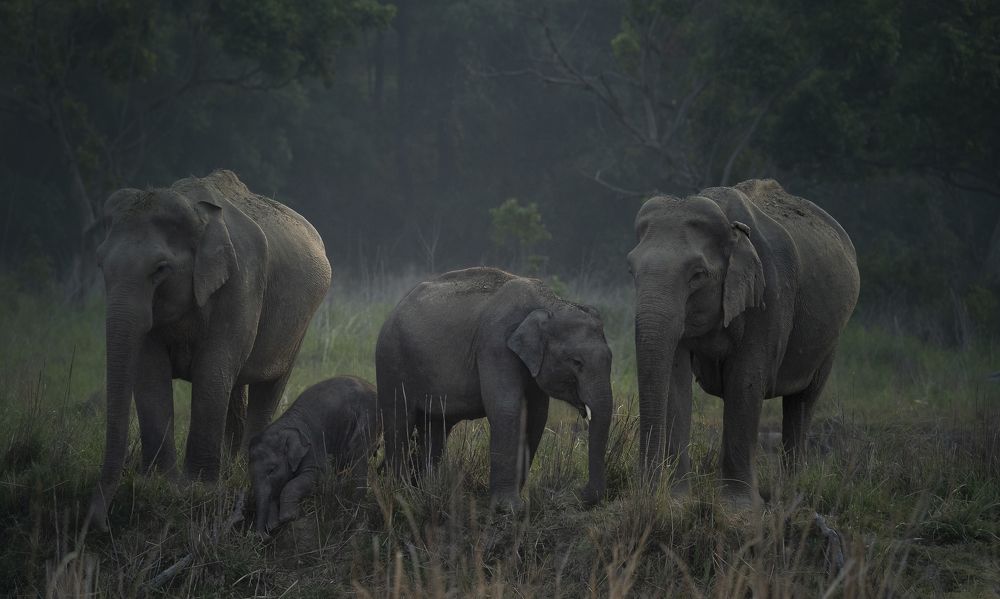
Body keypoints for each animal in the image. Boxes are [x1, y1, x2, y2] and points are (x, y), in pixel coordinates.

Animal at [88, 170, 332, 530]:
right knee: (237, 384)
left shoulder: (240, 283)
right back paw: (231, 468)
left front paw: (197, 488)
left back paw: (245, 469)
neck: (195, 213)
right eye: (100, 264)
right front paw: (159, 483)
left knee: (268, 386)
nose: (100, 522)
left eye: (160, 269)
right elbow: (150, 372)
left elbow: (211, 370)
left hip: (300, 321)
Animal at [249, 375, 378, 535]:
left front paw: (289, 517)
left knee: (356, 454)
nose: (264, 535)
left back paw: (354, 509)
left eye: (271, 470)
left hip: (368, 418)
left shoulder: (312, 446)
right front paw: (275, 524)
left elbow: (319, 476)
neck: (284, 425)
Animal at [375, 267, 614, 510]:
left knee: (435, 428)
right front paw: (510, 508)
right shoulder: (495, 343)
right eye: (576, 362)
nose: (577, 494)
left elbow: (537, 415)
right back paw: (403, 492)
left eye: (610, 359)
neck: (549, 303)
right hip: (391, 360)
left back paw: (427, 491)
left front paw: (518, 502)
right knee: (399, 420)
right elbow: (506, 408)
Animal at [628, 179, 859, 503]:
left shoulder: (770, 296)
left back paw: (792, 493)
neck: (729, 226)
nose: (645, 493)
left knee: (803, 401)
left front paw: (738, 507)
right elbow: (675, 379)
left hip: (832, 338)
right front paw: (677, 499)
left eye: (698, 274)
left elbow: (745, 380)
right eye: (631, 270)